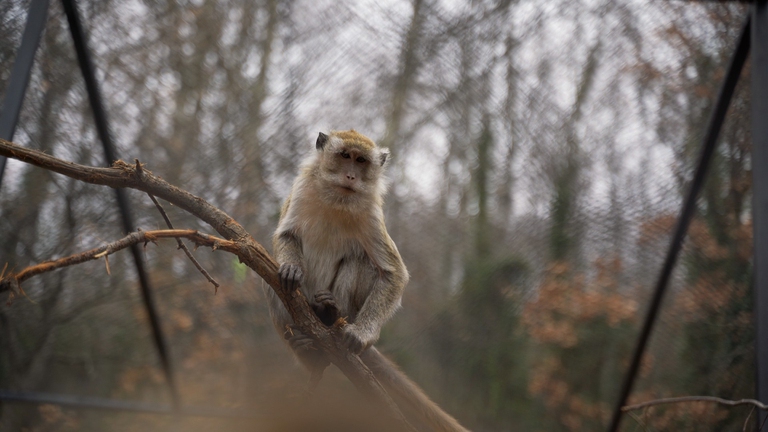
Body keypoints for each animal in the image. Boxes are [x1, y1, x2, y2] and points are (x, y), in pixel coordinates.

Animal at [268, 130, 470, 432]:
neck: (336, 200)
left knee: (358, 259)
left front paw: (361, 334)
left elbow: (393, 273)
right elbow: (286, 236)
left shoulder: (372, 213)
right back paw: (307, 351)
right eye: (345, 156)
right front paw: (291, 268)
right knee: (272, 279)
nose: (351, 176)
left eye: (361, 161)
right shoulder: (302, 188)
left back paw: (331, 314)